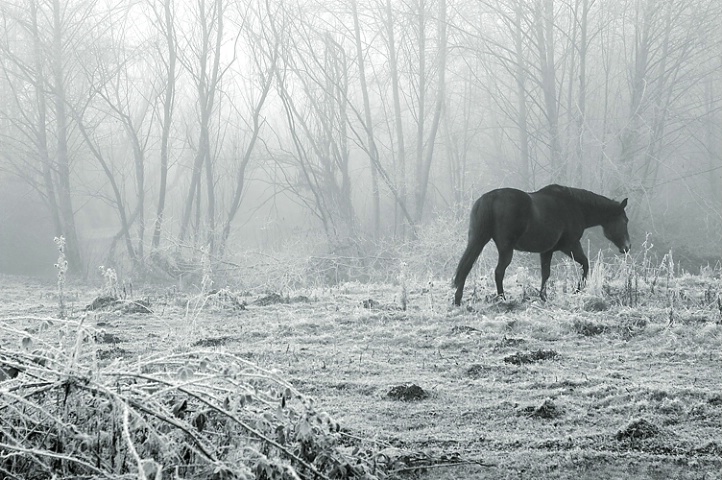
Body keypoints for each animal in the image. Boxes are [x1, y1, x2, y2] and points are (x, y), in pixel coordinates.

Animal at [452, 184, 628, 304]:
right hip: (505, 249)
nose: (627, 247)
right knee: (498, 272)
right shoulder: (570, 245)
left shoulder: (547, 250)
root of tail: (490, 197)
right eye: (625, 220)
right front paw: (578, 290)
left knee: (466, 267)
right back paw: (502, 298)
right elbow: (585, 264)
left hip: (478, 240)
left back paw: (458, 299)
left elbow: (546, 273)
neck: (575, 207)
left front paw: (543, 296)